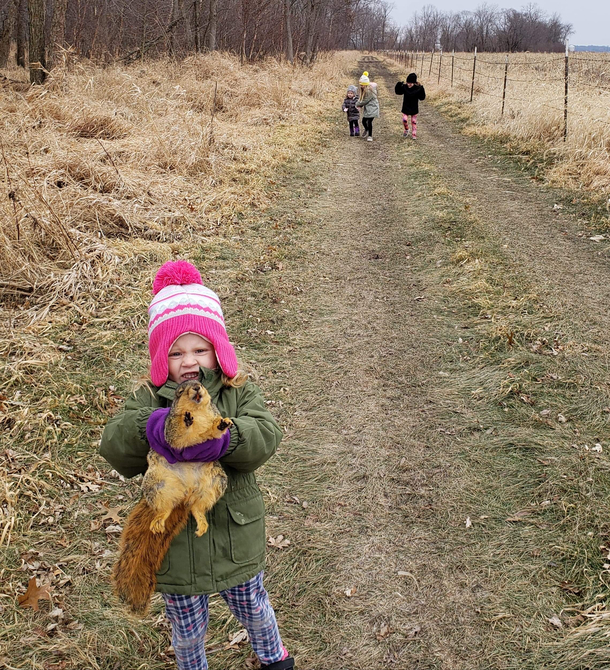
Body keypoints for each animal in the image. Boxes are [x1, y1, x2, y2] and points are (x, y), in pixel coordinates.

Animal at [113, 380, 229, 616]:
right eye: (180, 391)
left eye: (200, 383)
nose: (197, 389)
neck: (197, 410)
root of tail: (185, 495)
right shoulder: (171, 432)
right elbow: (176, 435)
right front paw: (184, 420)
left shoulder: (210, 422)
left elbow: (212, 432)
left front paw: (223, 424)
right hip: (158, 485)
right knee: (164, 509)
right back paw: (159, 520)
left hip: (214, 482)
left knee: (198, 508)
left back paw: (200, 520)